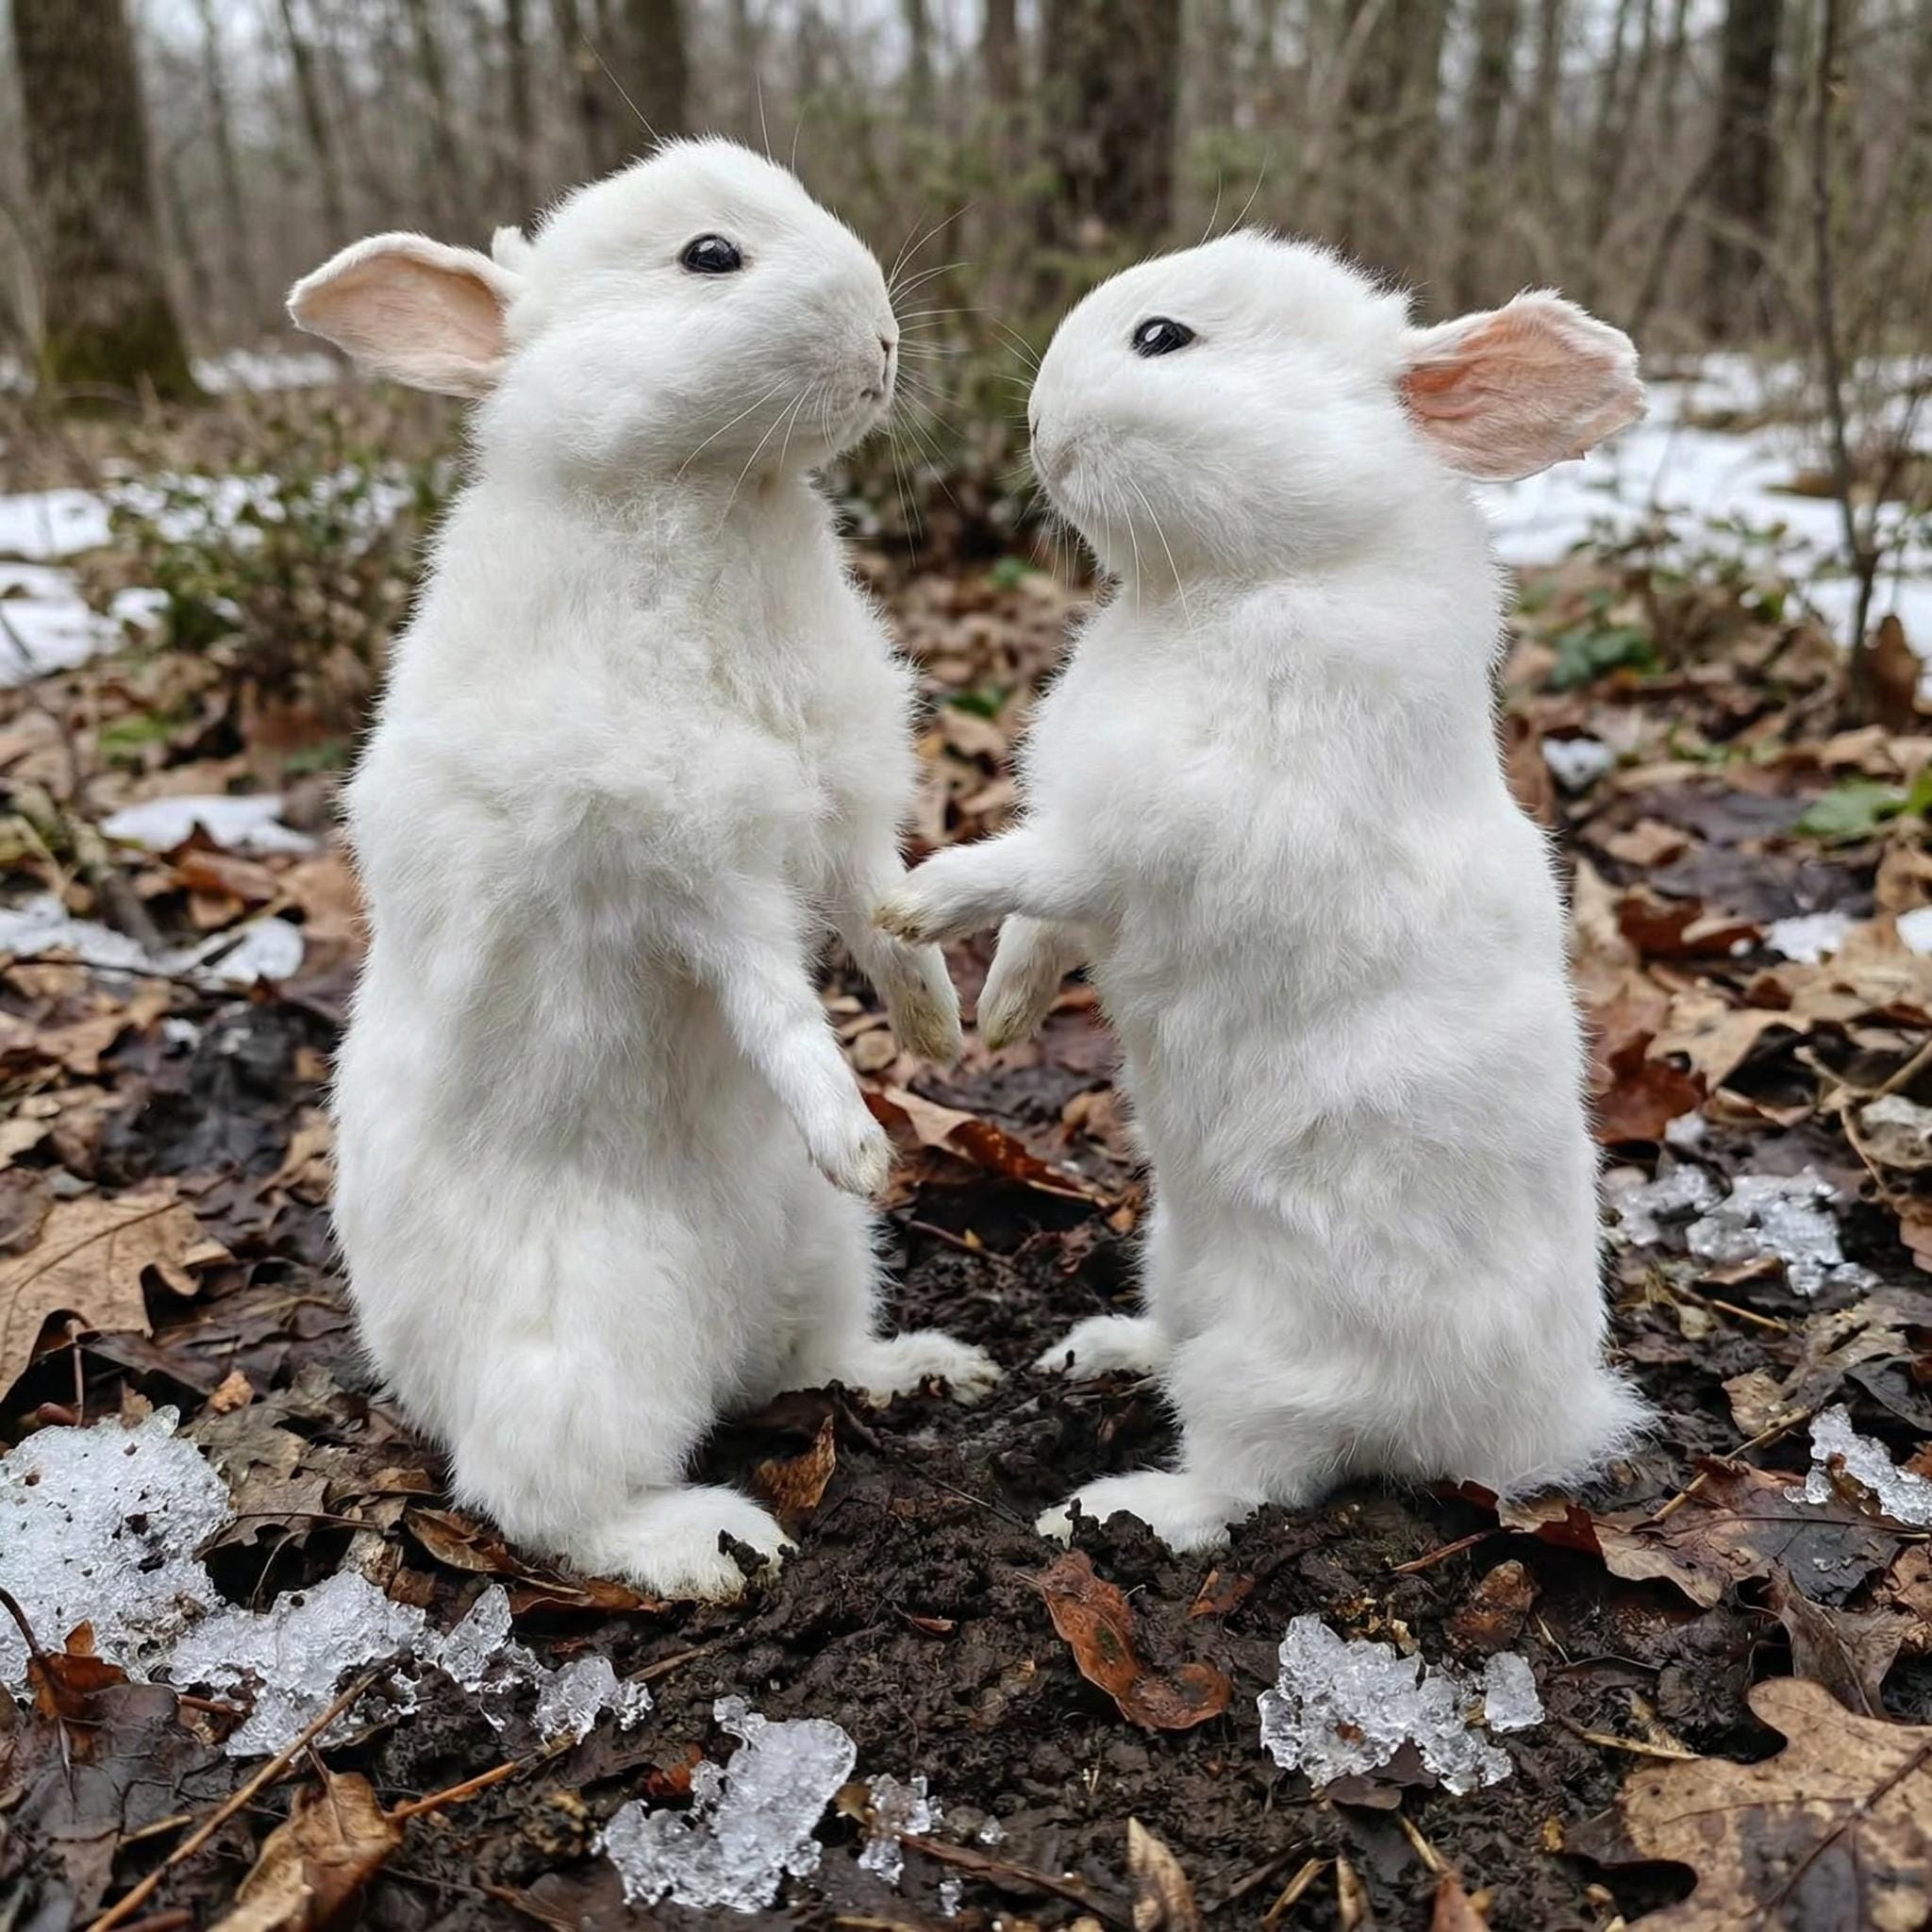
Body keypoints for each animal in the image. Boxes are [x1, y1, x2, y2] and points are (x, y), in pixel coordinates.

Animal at [289, 138, 997, 1601]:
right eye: (709, 257)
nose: (884, 337)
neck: (710, 497)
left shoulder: (838, 818)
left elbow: (876, 908)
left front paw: (934, 1027)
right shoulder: (681, 871)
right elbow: (773, 1002)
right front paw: (855, 1134)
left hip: (822, 1260)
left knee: (804, 1366)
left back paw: (922, 1371)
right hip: (584, 1361)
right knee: (541, 1501)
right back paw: (709, 1543)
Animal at [876, 233, 1651, 1553]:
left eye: (1163, 338)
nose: (1035, 426)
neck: (1227, 584)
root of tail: (1514, 1429)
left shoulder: (1159, 829)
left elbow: (1041, 865)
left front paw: (923, 899)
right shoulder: (1099, 859)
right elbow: (1048, 922)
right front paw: (1005, 1008)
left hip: (1272, 1365)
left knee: (1252, 1479)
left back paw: (1102, 1509)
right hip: (1171, 1253)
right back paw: (1093, 1348)